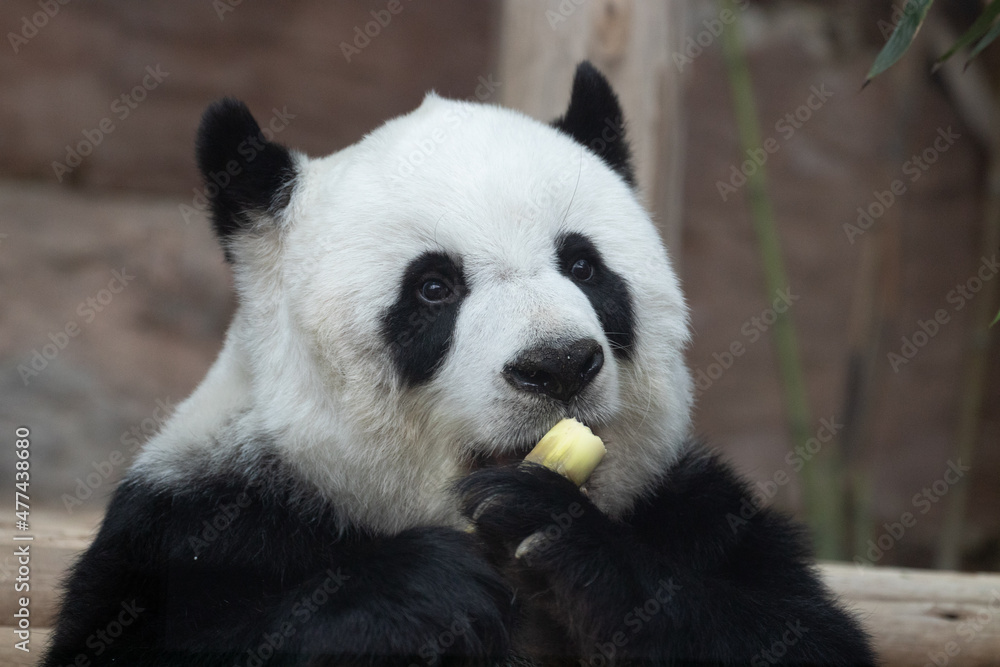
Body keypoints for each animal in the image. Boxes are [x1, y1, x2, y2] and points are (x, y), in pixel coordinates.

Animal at [44, 62, 875, 666]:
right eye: (435, 287)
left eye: (583, 265)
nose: (558, 364)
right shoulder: (199, 523)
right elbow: (133, 641)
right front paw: (421, 593)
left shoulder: (690, 507)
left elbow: (799, 633)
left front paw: (562, 535)